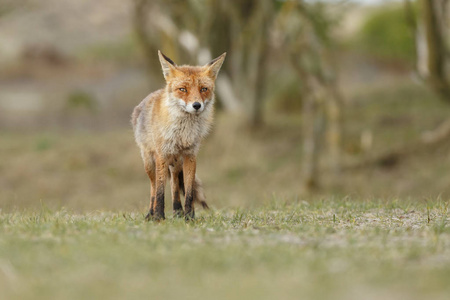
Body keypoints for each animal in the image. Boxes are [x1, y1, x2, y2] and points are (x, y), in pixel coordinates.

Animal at [132, 50, 227, 220]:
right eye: (183, 89)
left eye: (203, 89)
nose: (197, 105)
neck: (183, 134)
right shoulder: (162, 155)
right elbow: (160, 192)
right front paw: (159, 218)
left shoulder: (190, 155)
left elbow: (188, 192)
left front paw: (189, 218)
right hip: (149, 162)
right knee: (153, 187)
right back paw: (150, 214)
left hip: (176, 164)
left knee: (174, 185)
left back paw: (178, 212)